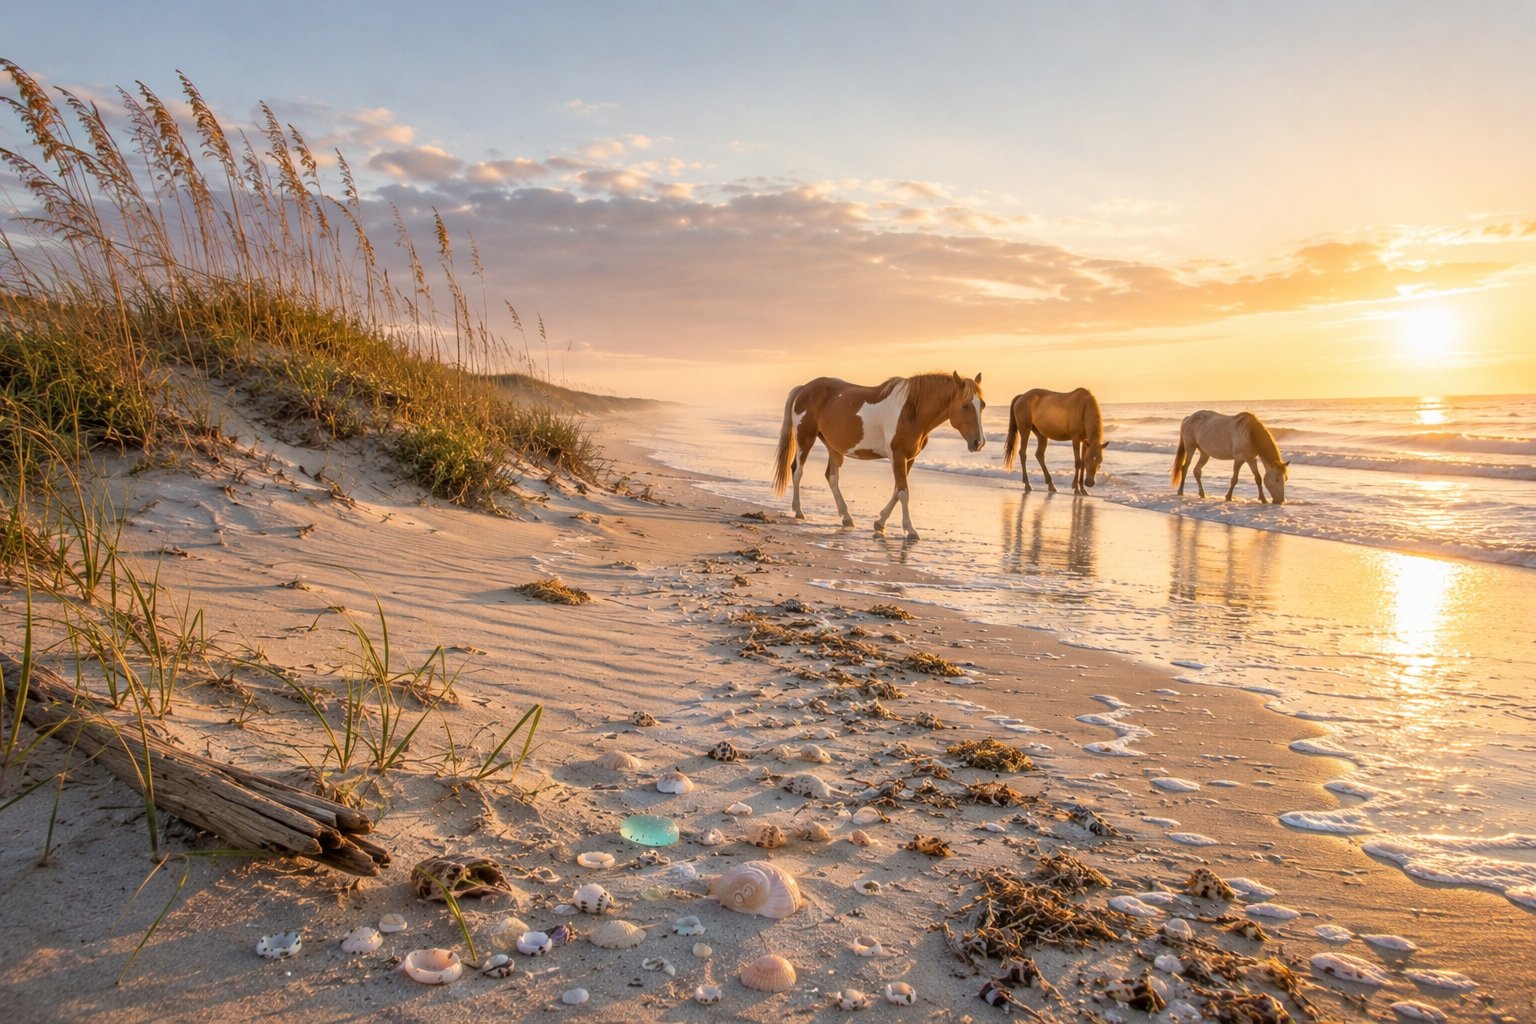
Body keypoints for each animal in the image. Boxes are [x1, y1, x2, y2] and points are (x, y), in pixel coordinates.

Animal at [772, 371, 985, 540]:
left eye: (982, 405)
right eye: (965, 405)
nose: (979, 442)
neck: (911, 411)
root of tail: (804, 388)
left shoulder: (909, 458)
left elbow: (897, 491)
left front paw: (880, 522)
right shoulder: (898, 456)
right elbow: (903, 492)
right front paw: (910, 530)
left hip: (833, 446)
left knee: (831, 476)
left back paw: (846, 517)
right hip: (805, 438)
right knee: (797, 471)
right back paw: (799, 511)